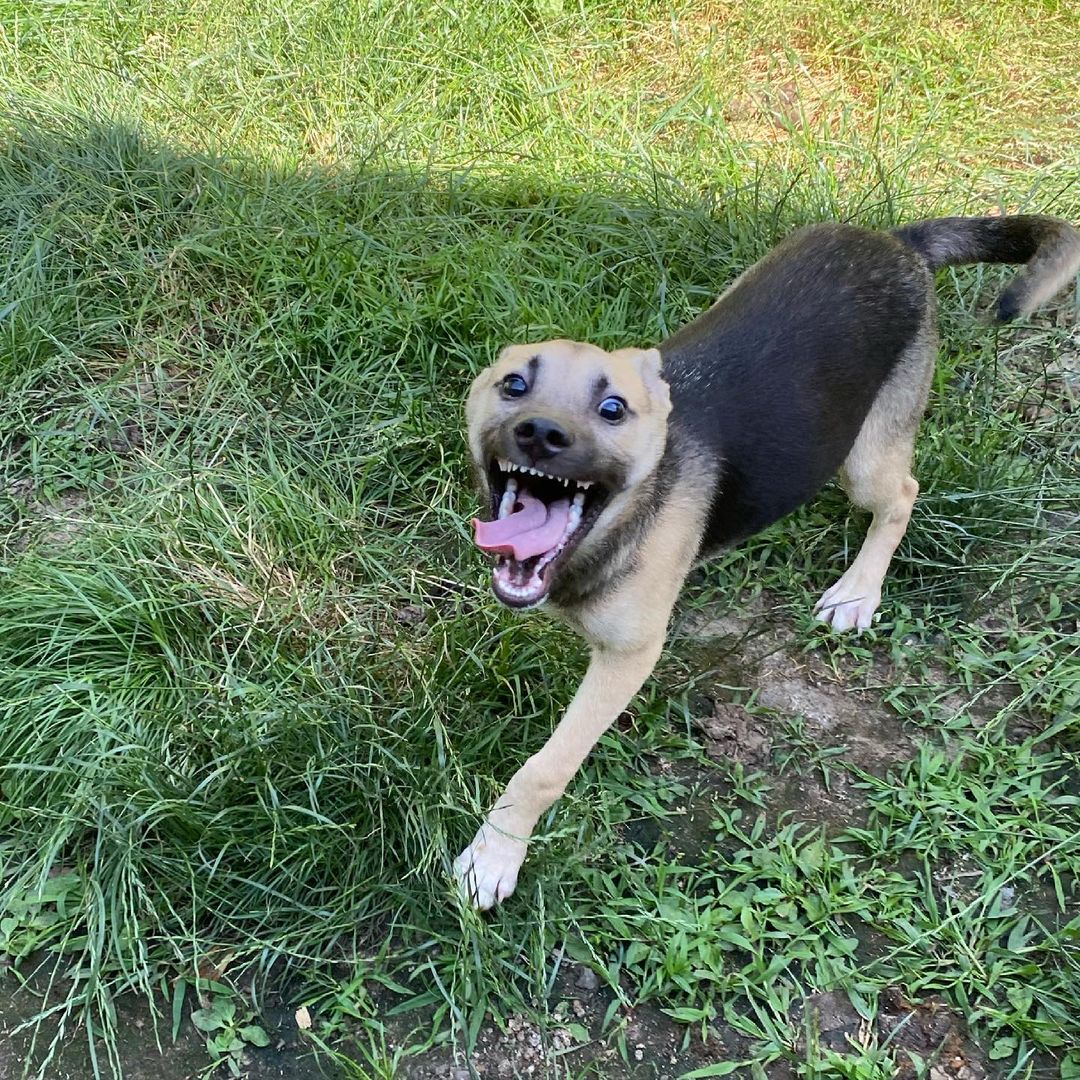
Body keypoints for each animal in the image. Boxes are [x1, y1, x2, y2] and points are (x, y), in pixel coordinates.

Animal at [453, 214, 1080, 907]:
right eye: (514, 384)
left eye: (612, 409)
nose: (540, 434)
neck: (617, 520)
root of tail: (899, 242)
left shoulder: (628, 657)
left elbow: (545, 768)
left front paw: (496, 855)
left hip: (864, 460)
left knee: (901, 496)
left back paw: (859, 591)